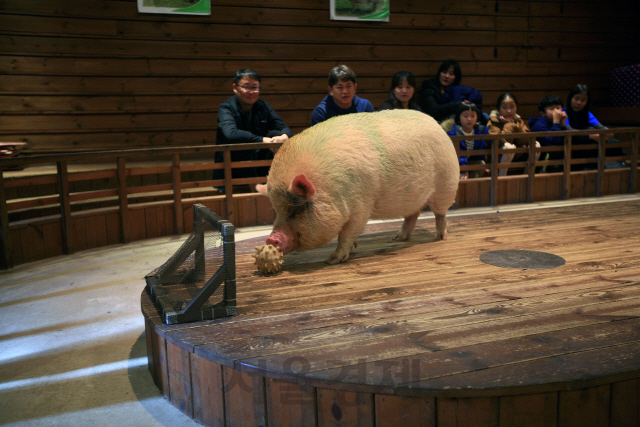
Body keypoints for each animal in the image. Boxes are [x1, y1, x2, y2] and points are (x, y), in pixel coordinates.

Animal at [256, 109, 460, 264]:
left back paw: (441, 238)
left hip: (446, 183)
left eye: (296, 209)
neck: (331, 189)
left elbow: (346, 234)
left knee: (440, 213)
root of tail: (438, 125)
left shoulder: (361, 208)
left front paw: (333, 260)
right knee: (413, 214)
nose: (271, 238)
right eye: (277, 211)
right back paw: (397, 238)